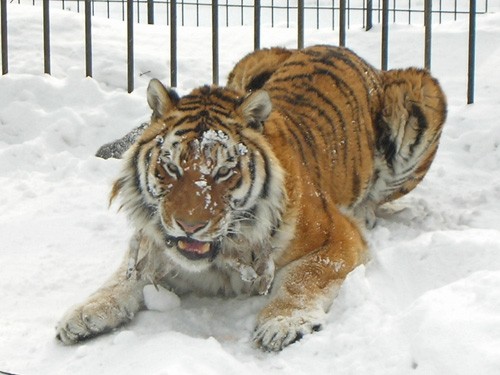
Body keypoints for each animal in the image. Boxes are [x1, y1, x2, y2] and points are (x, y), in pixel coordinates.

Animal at [56, 44, 448, 352]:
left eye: (223, 172)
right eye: (171, 167)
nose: (189, 225)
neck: (220, 257)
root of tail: (343, 49)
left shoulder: (337, 237)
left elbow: (304, 275)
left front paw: (281, 323)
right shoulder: (153, 243)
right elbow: (124, 276)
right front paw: (85, 313)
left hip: (421, 92)